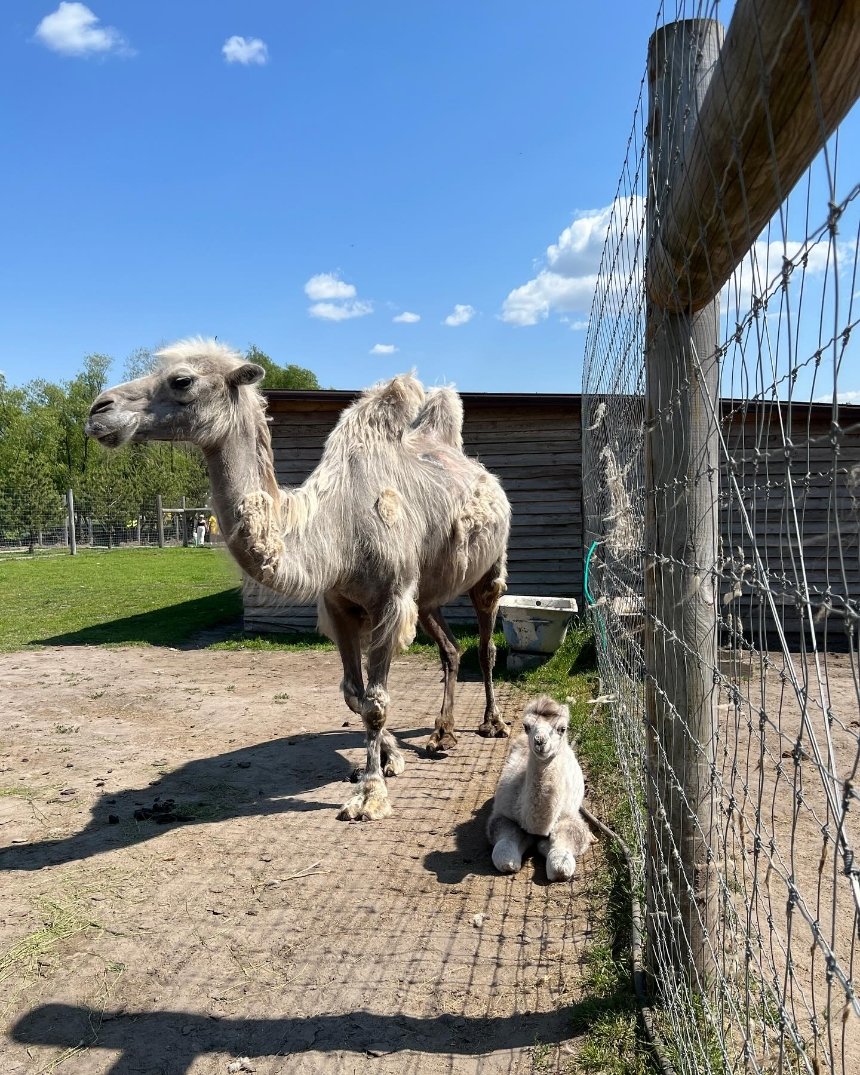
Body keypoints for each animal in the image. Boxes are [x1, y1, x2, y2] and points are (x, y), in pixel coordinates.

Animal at [86, 339, 511, 817]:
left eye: (182, 380)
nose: (99, 409)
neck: (335, 530)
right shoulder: (340, 605)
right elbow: (354, 694)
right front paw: (389, 758)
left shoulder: (390, 600)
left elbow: (377, 702)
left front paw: (371, 795)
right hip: (427, 594)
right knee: (450, 650)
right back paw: (442, 734)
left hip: (488, 569)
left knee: (486, 643)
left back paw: (492, 723)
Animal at [490, 696, 593, 881]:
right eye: (526, 726)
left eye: (562, 728)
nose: (540, 741)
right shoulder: (502, 814)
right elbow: (504, 855)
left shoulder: (570, 815)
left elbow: (564, 858)